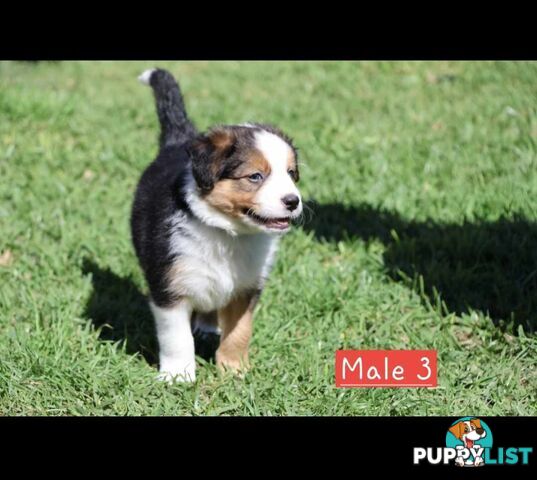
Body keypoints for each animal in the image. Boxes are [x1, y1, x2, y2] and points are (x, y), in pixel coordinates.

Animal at [130, 68, 302, 382]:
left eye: (291, 173)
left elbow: (240, 330)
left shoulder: (248, 286)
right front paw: (178, 376)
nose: (293, 201)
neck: (228, 233)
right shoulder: (168, 286)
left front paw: (234, 369)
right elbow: (177, 337)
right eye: (255, 176)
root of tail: (178, 142)